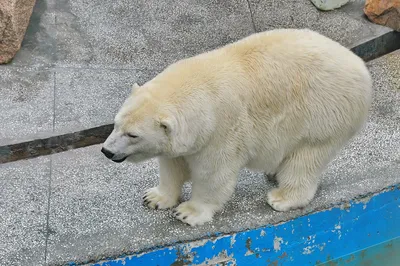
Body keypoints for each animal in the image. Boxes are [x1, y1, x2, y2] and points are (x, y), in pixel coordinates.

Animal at [102, 28, 372, 227]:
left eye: (133, 134)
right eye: (116, 123)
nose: (106, 150)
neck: (201, 91)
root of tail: (360, 67)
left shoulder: (221, 131)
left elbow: (213, 174)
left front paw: (188, 212)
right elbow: (173, 165)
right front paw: (155, 198)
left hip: (322, 114)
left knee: (306, 159)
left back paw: (282, 197)